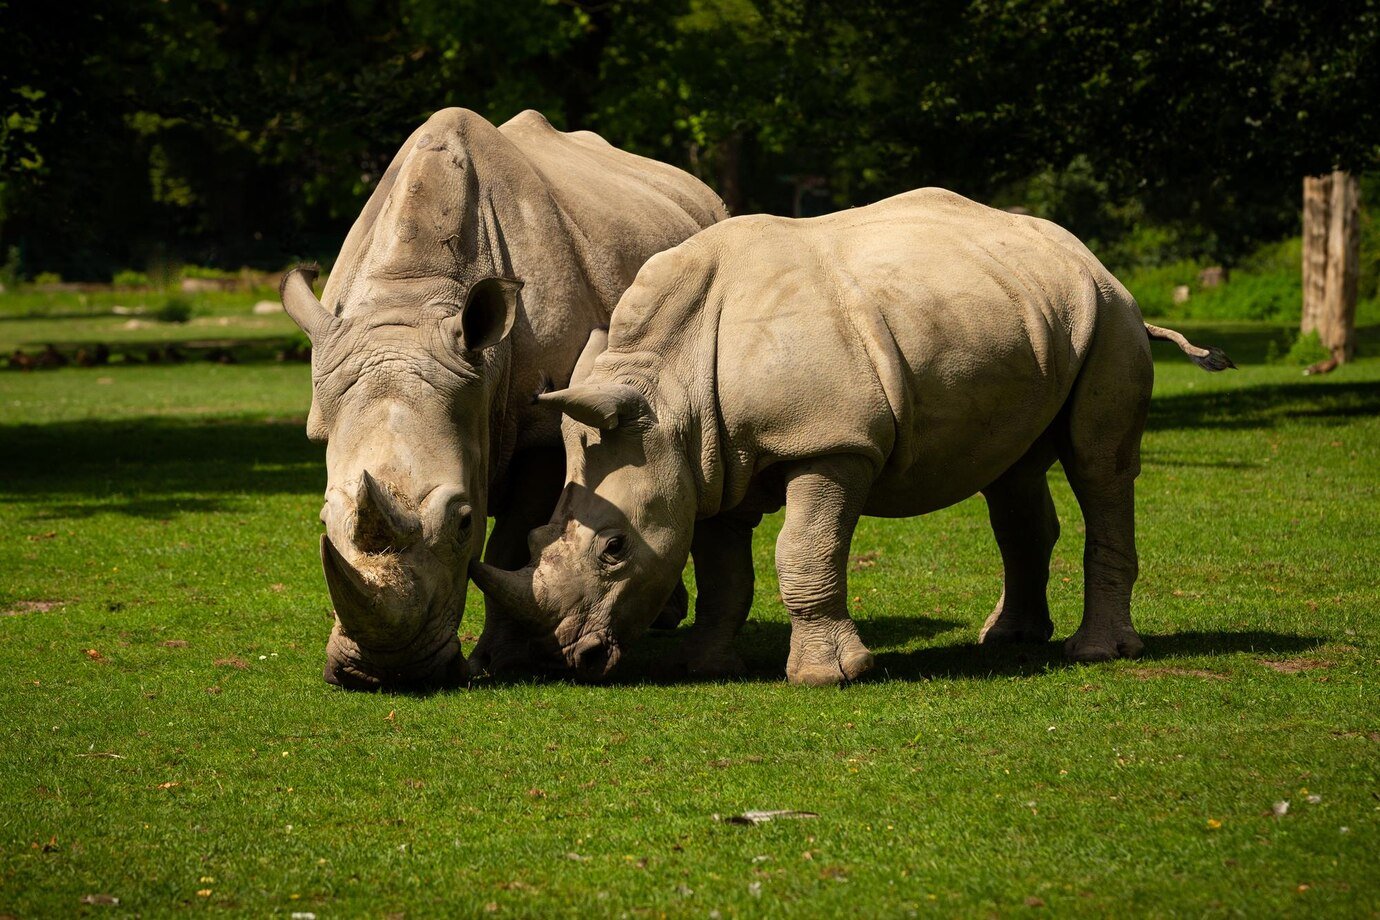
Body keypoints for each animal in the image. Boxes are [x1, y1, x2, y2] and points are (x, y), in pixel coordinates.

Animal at [279, 108, 725, 689]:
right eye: (322, 521)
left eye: (464, 522)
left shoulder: (542, 431)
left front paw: (497, 659)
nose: (385, 673)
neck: (409, 304)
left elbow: (509, 545)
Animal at [470, 188, 1233, 684]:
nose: (577, 659)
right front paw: (706, 664)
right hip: (1030, 313)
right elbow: (723, 570)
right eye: (534, 541)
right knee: (1011, 475)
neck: (667, 389)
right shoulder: (707, 462)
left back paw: (1096, 654)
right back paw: (1008, 640)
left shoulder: (831, 443)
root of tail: (1092, 259)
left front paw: (829, 676)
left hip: (1110, 318)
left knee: (1100, 466)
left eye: (614, 548)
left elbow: (802, 550)